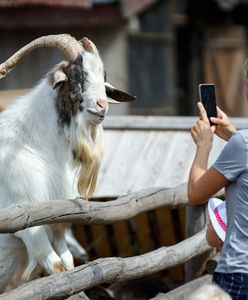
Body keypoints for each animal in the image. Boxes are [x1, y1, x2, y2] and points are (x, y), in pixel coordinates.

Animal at [0, 34, 136, 292]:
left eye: (104, 78)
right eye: (78, 77)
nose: (102, 106)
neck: (31, 144)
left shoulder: (58, 224)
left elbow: (68, 263)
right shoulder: (30, 228)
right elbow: (56, 267)